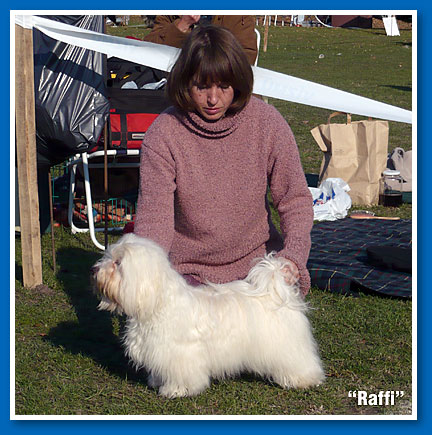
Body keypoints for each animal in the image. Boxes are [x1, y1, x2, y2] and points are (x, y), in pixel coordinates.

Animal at [93, 235, 326, 398]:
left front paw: (176, 390)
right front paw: (157, 382)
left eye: (118, 263)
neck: (159, 303)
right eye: (110, 257)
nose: (96, 271)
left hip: (286, 346)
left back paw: (302, 379)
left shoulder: (181, 354)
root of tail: (275, 292)